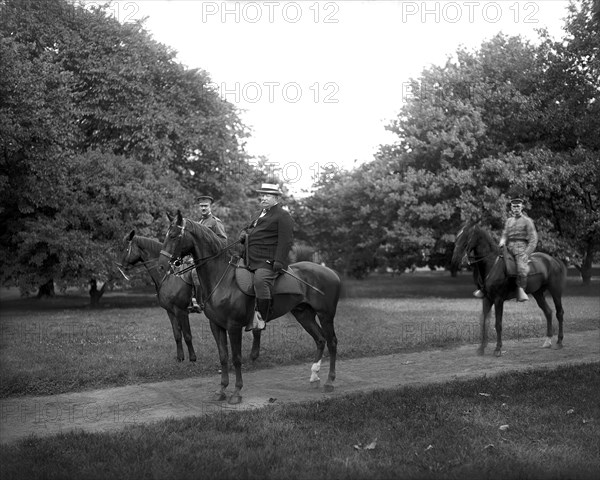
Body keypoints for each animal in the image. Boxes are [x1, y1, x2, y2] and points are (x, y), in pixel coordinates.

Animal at [157, 212, 340, 404]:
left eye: (174, 235)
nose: (161, 265)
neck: (222, 279)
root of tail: (332, 272)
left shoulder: (234, 326)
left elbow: (236, 358)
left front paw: (237, 392)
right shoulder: (216, 325)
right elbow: (223, 357)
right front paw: (221, 390)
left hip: (326, 315)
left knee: (332, 342)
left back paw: (329, 381)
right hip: (304, 314)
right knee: (320, 340)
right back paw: (314, 377)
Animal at [450, 221, 568, 356]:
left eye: (467, 237)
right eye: (457, 236)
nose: (455, 259)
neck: (491, 263)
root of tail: (553, 260)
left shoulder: (498, 299)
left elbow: (498, 324)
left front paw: (498, 349)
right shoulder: (486, 298)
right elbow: (485, 321)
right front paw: (481, 348)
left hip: (555, 291)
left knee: (559, 313)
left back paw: (559, 342)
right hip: (537, 293)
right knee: (548, 312)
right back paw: (547, 341)